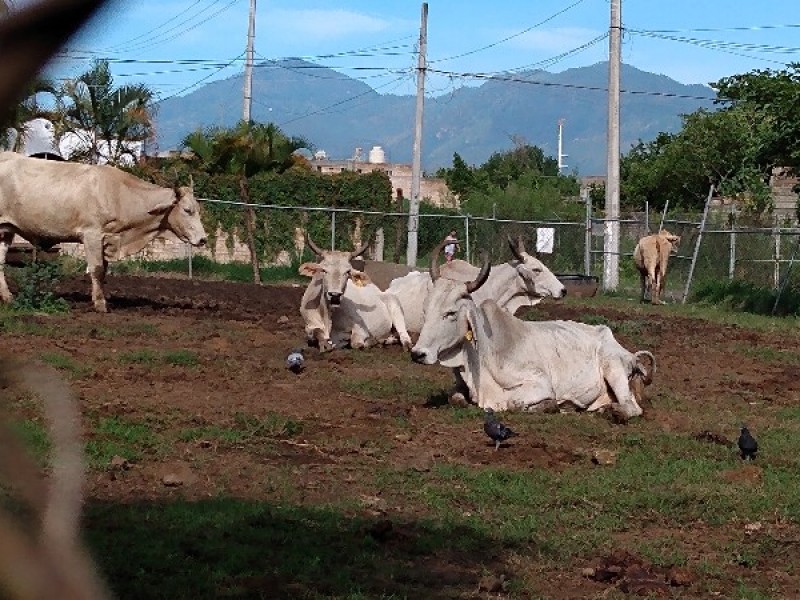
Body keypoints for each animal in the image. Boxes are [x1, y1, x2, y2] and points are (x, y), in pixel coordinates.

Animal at [0, 152, 209, 312]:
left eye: (198, 209)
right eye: (187, 210)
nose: (203, 239)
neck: (119, 195)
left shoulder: (108, 239)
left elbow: (104, 271)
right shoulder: (91, 235)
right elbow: (97, 269)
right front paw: (100, 304)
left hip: (6, 230)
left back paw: (8, 297)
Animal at [410, 244, 652, 418]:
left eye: (451, 313)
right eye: (426, 309)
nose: (417, 353)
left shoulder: (539, 383)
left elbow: (512, 402)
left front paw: (551, 405)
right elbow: (456, 398)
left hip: (613, 367)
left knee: (632, 408)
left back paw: (614, 411)